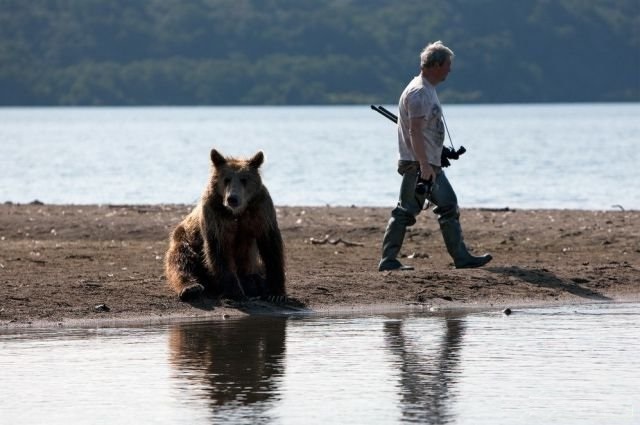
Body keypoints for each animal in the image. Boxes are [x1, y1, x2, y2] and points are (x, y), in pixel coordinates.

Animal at [165, 147, 284, 300]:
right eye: (226, 179)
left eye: (244, 179)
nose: (232, 198)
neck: (237, 212)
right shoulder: (215, 215)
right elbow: (220, 249)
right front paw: (235, 291)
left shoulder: (261, 211)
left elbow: (271, 247)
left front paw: (276, 293)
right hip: (184, 236)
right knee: (181, 259)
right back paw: (191, 287)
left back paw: (255, 283)